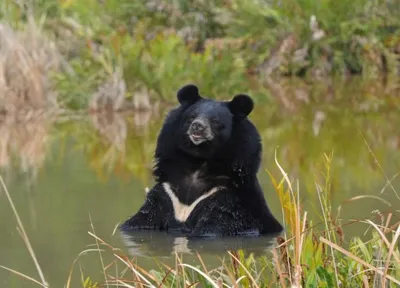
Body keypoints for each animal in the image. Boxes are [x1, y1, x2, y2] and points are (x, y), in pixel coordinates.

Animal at [120, 84, 282, 237]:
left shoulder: (227, 198)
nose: (197, 126)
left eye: (215, 120)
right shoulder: (168, 191)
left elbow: (212, 227)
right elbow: (141, 220)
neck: (199, 161)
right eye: (192, 116)